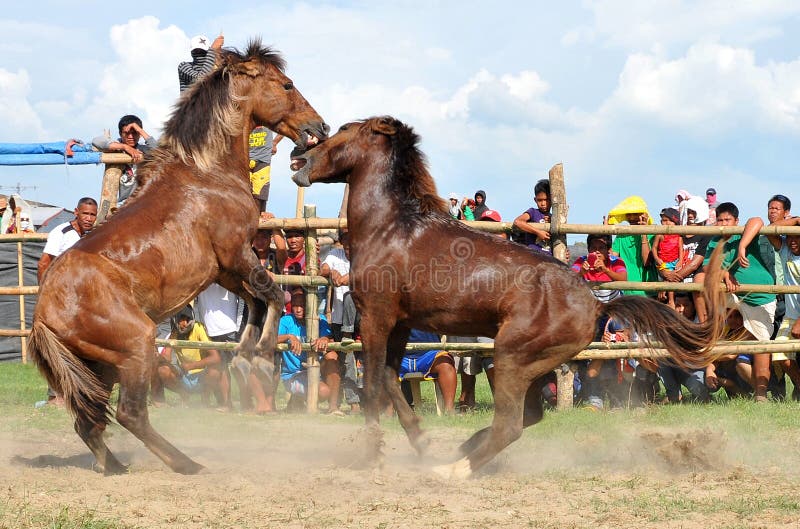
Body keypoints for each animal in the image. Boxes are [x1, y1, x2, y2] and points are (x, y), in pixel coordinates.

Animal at [28, 39, 328, 472]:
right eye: (287, 85)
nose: (319, 128)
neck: (207, 172)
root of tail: (41, 315)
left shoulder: (222, 271)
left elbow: (255, 301)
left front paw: (244, 355)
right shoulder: (236, 254)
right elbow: (272, 292)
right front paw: (259, 356)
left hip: (100, 365)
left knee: (89, 422)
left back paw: (114, 466)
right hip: (137, 344)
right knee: (129, 413)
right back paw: (186, 464)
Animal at [292, 115, 724, 478]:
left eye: (343, 130)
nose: (300, 158)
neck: (392, 228)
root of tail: (598, 303)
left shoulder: (376, 318)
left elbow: (372, 388)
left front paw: (373, 455)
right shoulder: (399, 324)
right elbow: (388, 379)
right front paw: (421, 441)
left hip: (512, 356)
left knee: (512, 423)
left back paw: (453, 469)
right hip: (535, 364)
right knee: (529, 416)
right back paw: (463, 449)